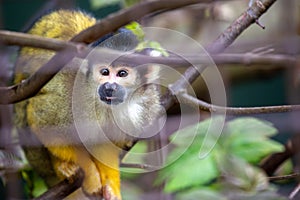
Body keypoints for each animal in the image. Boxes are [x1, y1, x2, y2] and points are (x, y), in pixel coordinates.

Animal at [14, 9, 162, 200]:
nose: (109, 87)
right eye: (104, 72)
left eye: (122, 73)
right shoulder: (69, 97)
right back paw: (61, 167)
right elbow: (43, 121)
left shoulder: (145, 107)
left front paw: (111, 185)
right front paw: (90, 174)